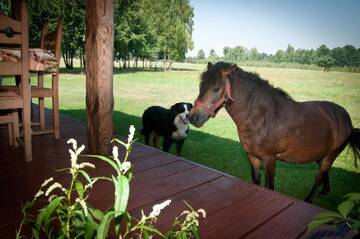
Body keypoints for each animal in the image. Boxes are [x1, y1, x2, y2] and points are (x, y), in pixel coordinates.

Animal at [190, 61, 358, 202]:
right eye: (200, 86)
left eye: (216, 88)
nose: (193, 117)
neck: (264, 116)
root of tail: (345, 118)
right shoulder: (253, 157)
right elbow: (256, 180)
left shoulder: (270, 159)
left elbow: (269, 186)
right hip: (320, 155)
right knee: (324, 173)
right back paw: (325, 191)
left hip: (331, 155)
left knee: (319, 177)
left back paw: (309, 199)